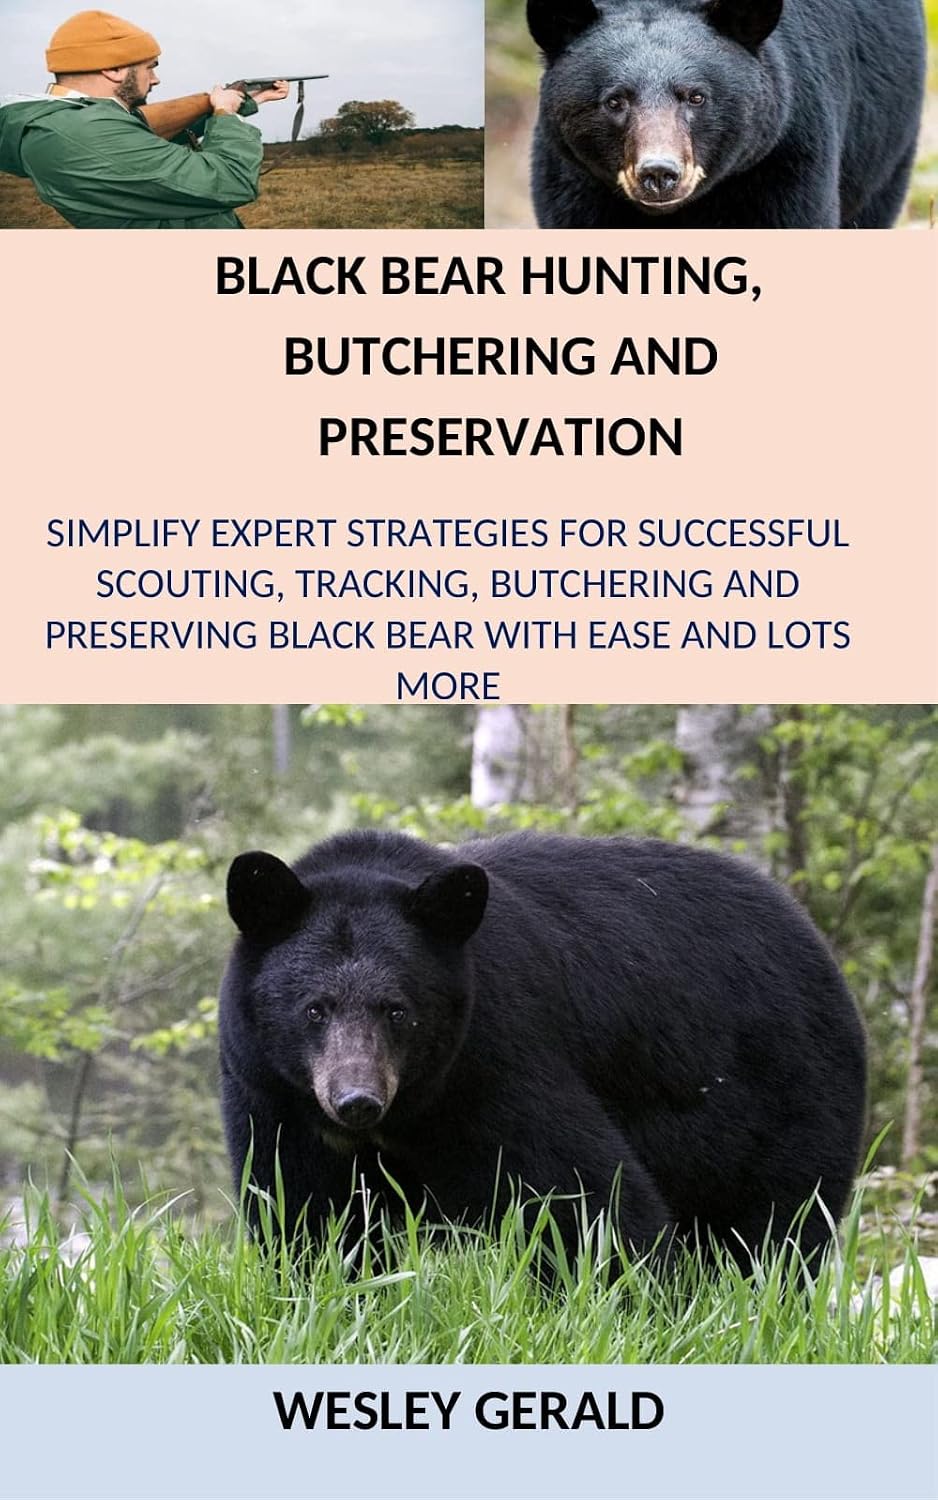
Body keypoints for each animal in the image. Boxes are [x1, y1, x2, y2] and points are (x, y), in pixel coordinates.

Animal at [219, 829, 867, 1269]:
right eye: (315, 1008)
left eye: (397, 1010)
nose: (357, 1099)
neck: (410, 1112)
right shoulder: (274, 1096)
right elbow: (303, 1210)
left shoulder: (499, 1057)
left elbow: (583, 1193)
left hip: (783, 1093)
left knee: (775, 1225)